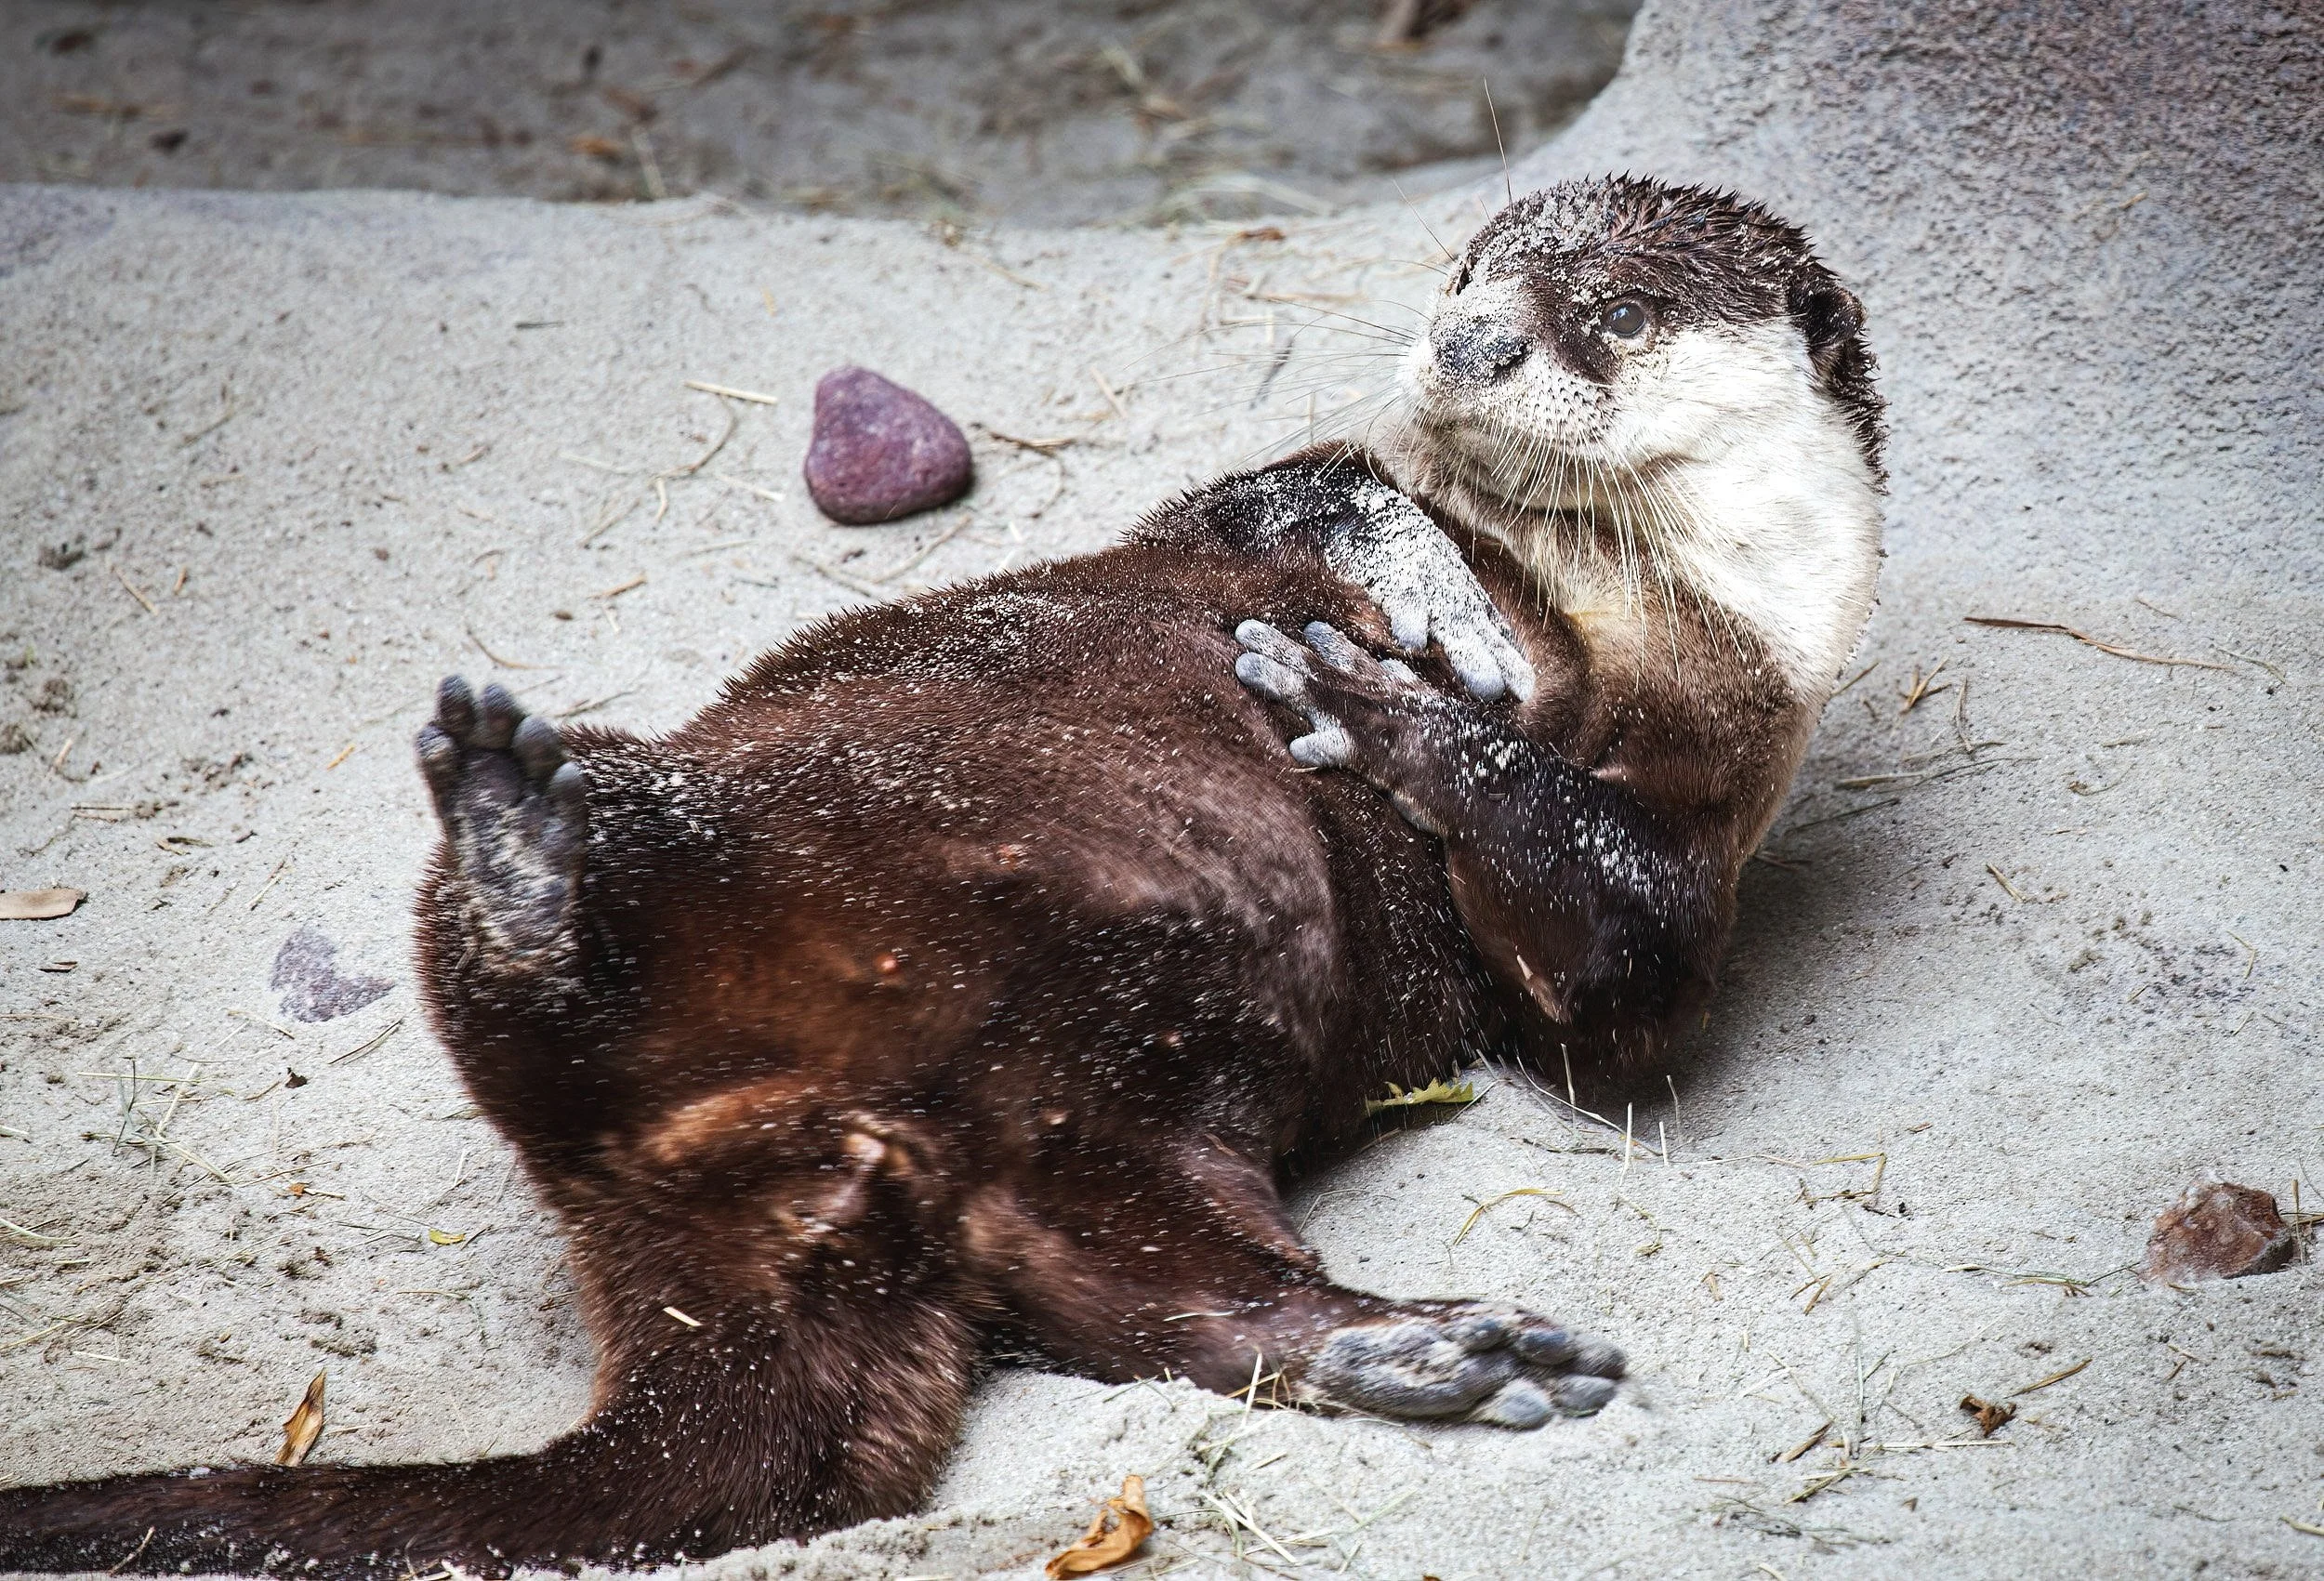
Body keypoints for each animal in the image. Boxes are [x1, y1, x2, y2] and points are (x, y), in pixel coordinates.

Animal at [0, 177, 1883, 1577]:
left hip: (1072, 1144)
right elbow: (1293, 496)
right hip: (714, 856)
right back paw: (518, 840)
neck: (1598, 603)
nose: (1470, 337)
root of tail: (682, 1214)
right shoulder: (1230, 519)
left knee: (1162, 1302)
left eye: (1614, 312)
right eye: (1469, 273)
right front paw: (1424, 613)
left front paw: (1375, 701)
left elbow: (1619, 954)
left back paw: (1423, 1347)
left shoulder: (1713, 800)